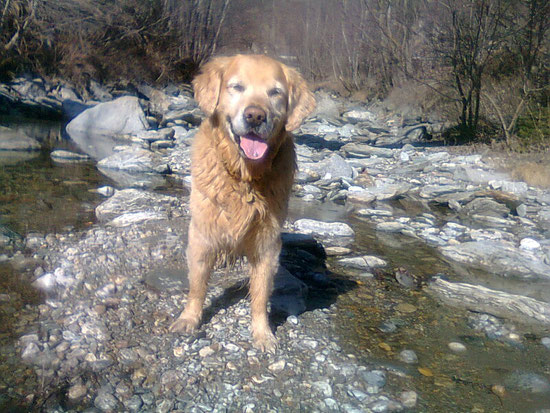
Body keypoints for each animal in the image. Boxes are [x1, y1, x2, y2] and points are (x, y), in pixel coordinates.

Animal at [170, 55, 316, 350]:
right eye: (236, 87)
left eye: (275, 92)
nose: (255, 116)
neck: (244, 175)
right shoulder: (202, 234)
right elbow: (197, 285)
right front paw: (189, 318)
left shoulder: (267, 242)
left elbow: (260, 294)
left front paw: (263, 333)